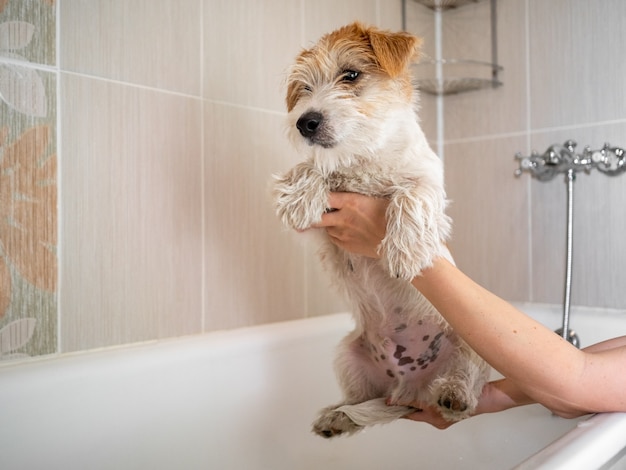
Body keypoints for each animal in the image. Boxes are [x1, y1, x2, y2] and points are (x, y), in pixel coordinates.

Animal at [270, 23, 490, 438]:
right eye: (304, 88)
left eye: (351, 74)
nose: (305, 122)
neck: (364, 158)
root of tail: (409, 390)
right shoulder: (321, 230)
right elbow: (315, 167)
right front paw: (299, 197)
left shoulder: (431, 192)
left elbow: (411, 195)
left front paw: (402, 253)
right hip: (347, 354)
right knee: (364, 400)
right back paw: (337, 417)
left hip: (470, 338)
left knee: (465, 379)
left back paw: (453, 396)